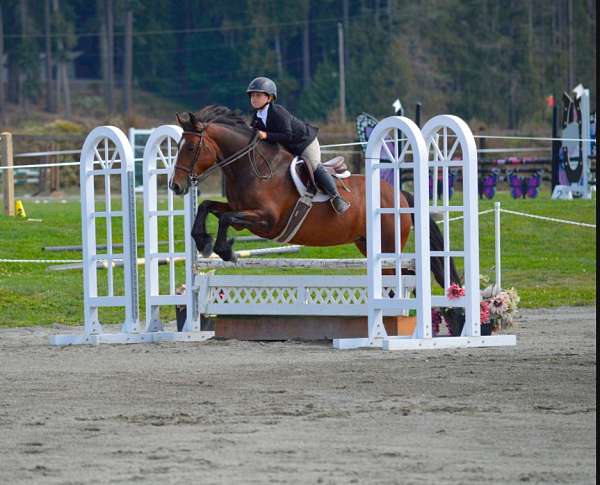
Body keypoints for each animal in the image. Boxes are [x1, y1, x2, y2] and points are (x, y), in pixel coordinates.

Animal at [169, 106, 464, 330]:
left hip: (389, 246)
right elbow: (207, 206)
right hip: (368, 244)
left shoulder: (267, 221)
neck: (251, 166)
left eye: (191, 148)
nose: (175, 186)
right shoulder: (239, 209)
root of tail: (400, 195)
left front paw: (223, 249)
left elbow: (226, 219)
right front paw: (202, 241)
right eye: (179, 147)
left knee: (407, 276)